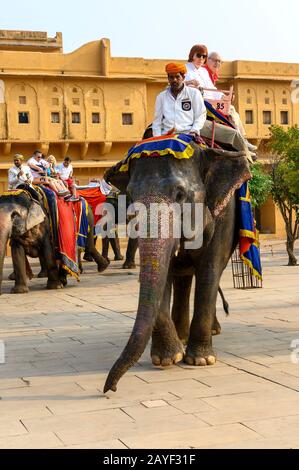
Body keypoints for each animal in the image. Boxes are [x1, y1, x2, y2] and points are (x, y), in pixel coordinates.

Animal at [103, 140, 251, 392]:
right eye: (130, 195)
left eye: (180, 194)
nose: (110, 388)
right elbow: (162, 273)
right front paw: (167, 359)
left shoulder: (223, 214)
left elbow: (209, 271)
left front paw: (201, 360)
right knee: (182, 279)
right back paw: (181, 336)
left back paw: (211, 331)